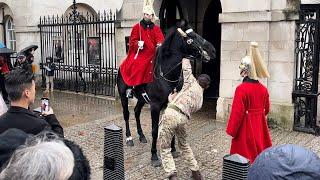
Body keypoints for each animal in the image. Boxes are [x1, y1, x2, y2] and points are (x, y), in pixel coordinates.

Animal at [116, 20, 216, 167]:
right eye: (191, 38)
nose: (212, 50)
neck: (166, 74)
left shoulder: (169, 105)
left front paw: (173, 150)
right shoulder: (155, 106)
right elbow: (154, 130)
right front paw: (154, 156)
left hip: (141, 99)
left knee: (136, 112)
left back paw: (141, 136)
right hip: (123, 95)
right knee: (126, 114)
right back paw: (129, 138)